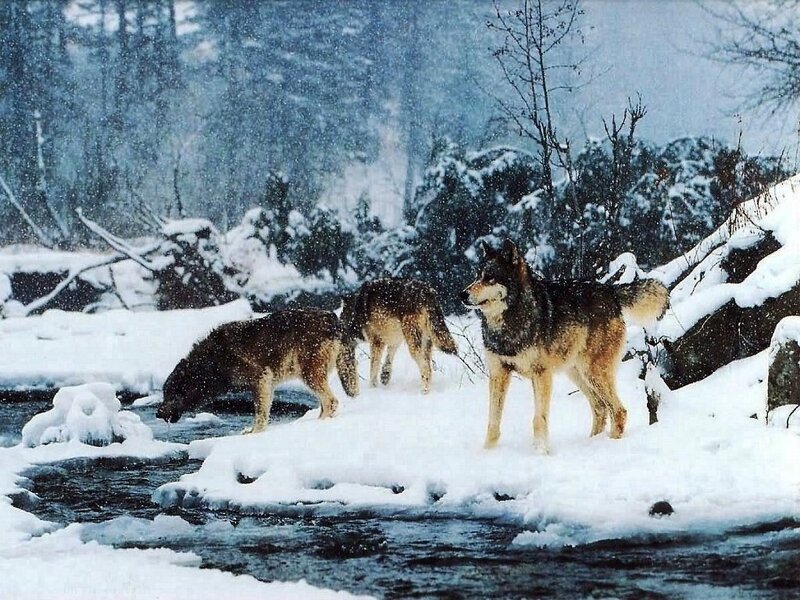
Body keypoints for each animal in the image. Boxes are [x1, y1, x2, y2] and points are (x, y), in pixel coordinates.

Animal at [156, 309, 359, 433]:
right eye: (164, 393)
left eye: (171, 394)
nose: (157, 414)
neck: (212, 362)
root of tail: (334, 319)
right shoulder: (267, 385)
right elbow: (263, 412)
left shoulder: (260, 380)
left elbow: (260, 414)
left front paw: (254, 433)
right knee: (326, 403)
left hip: (309, 375)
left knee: (331, 402)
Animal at [461, 239, 668, 452]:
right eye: (477, 276)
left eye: (490, 278)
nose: (462, 295)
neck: (510, 320)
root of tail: (610, 291)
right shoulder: (498, 373)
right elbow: (493, 422)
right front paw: (488, 452)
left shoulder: (541, 374)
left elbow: (538, 420)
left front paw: (541, 452)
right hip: (577, 373)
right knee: (600, 408)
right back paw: (591, 442)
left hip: (593, 372)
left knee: (619, 410)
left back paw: (608, 444)